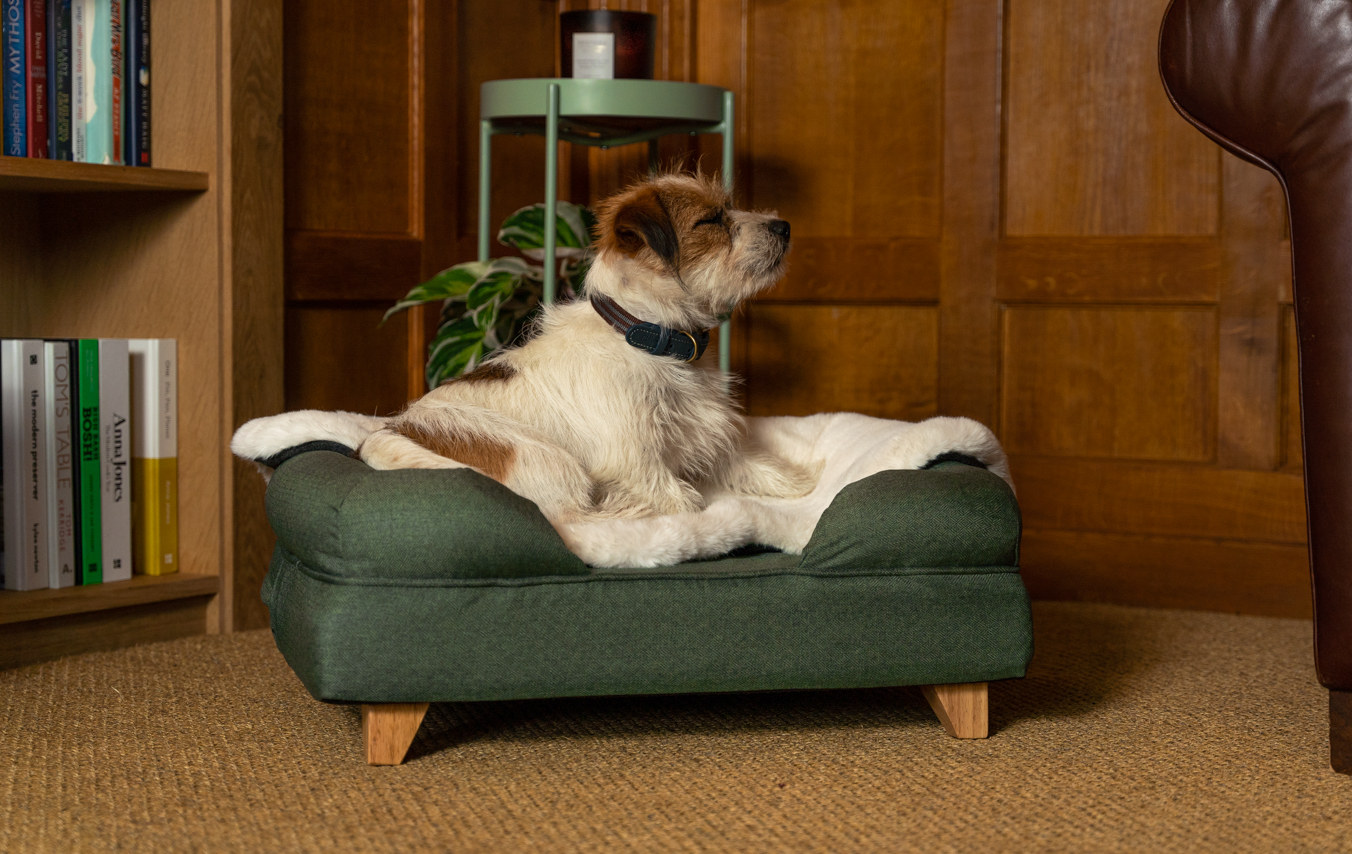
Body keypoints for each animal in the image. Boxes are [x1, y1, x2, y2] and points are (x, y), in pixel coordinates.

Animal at [354, 171, 816, 521]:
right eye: (712, 220)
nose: (785, 226)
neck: (649, 336)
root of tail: (390, 433)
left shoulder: (701, 429)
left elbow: (741, 461)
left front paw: (798, 483)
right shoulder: (634, 459)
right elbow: (682, 500)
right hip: (547, 459)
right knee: (573, 517)